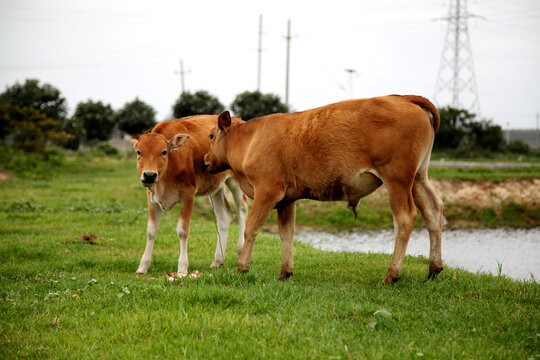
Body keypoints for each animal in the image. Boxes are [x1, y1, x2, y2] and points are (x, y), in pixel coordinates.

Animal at [131, 115, 249, 276]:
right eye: (138, 152)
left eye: (164, 152)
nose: (149, 175)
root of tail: (239, 120)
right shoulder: (152, 196)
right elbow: (151, 230)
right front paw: (143, 266)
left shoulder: (188, 194)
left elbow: (182, 230)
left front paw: (182, 268)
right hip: (215, 186)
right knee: (224, 214)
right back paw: (217, 260)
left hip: (236, 180)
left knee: (242, 208)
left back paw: (240, 253)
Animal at [205, 95, 446, 284]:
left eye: (211, 136)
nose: (205, 160)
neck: (250, 140)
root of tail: (402, 98)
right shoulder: (287, 199)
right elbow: (287, 234)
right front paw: (285, 272)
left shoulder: (268, 191)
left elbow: (251, 229)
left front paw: (242, 267)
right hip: (418, 178)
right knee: (433, 210)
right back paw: (434, 269)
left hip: (398, 180)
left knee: (404, 218)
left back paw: (392, 275)